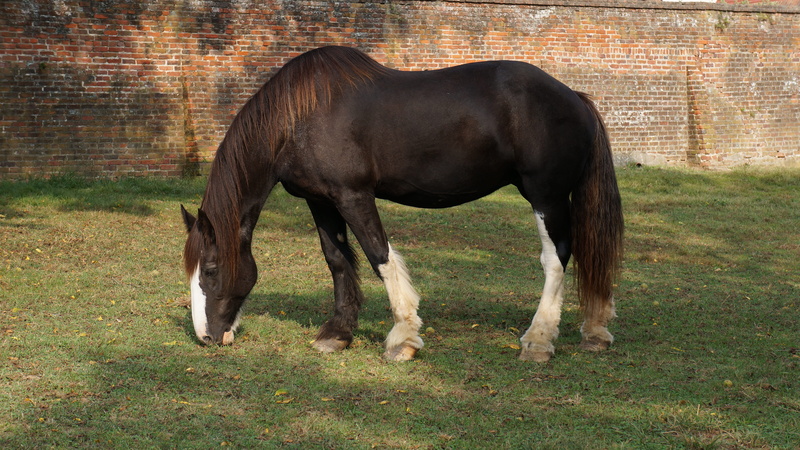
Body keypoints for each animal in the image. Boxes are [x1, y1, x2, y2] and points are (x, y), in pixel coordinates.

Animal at [181, 46, 623, 363]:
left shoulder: (353, 196)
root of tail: (575, 97)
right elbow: (337, 260)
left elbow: (379, 255)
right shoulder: (321, 201)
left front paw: (403, 338)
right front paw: (337, 334)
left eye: (211, 269)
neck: (299, 118)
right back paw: (595, 331)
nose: (205, 337)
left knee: (556, 257)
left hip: (546, 196)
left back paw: (539, 340)